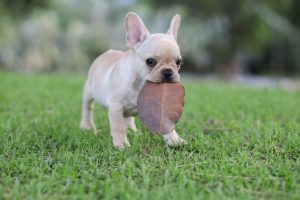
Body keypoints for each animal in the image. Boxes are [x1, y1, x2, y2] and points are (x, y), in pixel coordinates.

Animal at [79, 12, 185, 148]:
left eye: (178, 62)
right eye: (150, 62)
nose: (168, 72)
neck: (140, 85)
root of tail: (107, 52)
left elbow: (167, 124)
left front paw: (175, 140)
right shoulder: (116, 106)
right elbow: (118, 127)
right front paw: (122, 144)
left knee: (128, 119)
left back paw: (133, 131)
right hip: (88, 91)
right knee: (87, 108)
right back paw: (86, 126)